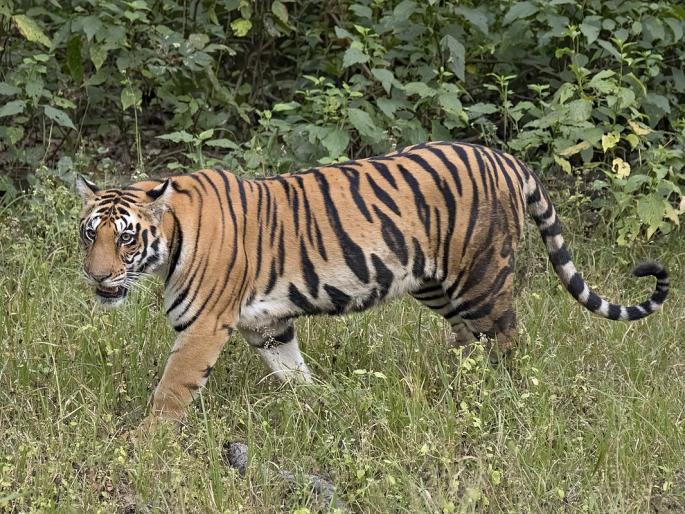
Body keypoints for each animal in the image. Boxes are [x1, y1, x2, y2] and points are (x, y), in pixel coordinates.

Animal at [76, 141, 669, 423]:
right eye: (89, 234)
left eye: (125, 239)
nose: (97, 276)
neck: (171, 239)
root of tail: (504, 158)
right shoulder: (267, 324)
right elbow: (292, 370)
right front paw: (317, 404)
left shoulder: (203, 327)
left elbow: (172, 390)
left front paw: (147, 443)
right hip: (437, 284)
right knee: (468, 339)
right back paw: (455, 386)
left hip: (481, 279)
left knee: (506, 340)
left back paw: (502, 397)